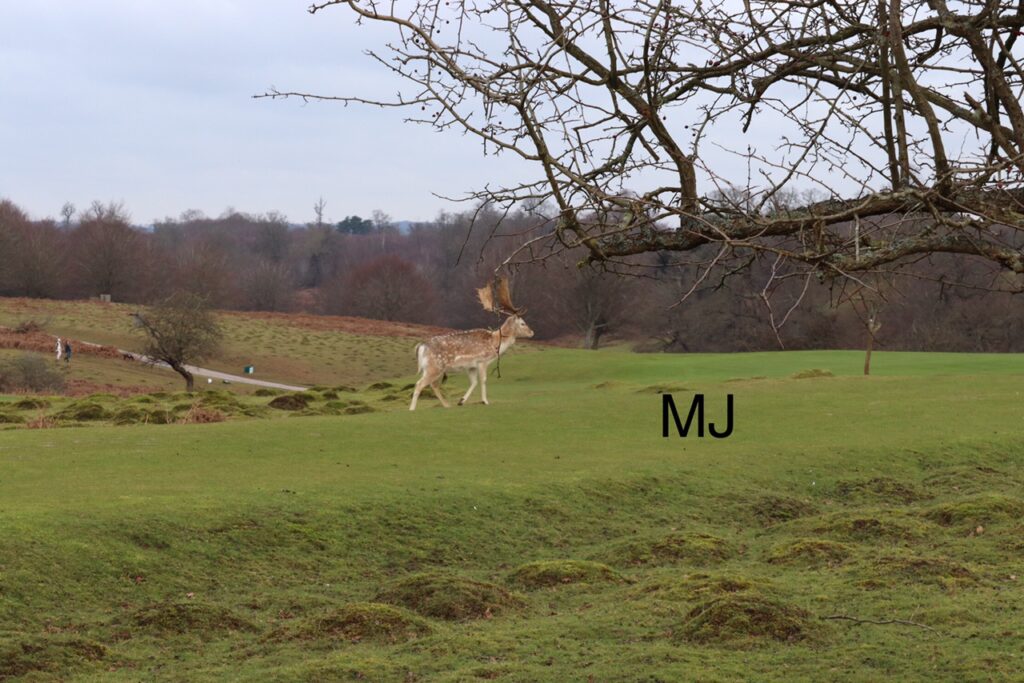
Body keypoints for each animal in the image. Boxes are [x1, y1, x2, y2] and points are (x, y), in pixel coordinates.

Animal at [409, 277, 533, 411]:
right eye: (522, 323)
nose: (532, 332)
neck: (494, 344)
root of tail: (421, 346)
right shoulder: (482, 361)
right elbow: (483, 380)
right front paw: (485, 401)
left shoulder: (471, 366)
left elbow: (474, 382)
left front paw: (461, 401)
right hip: (434, 366)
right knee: (420, 384)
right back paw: (412, 408)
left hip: (432, 368)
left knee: (433, 385)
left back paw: (447, 405)